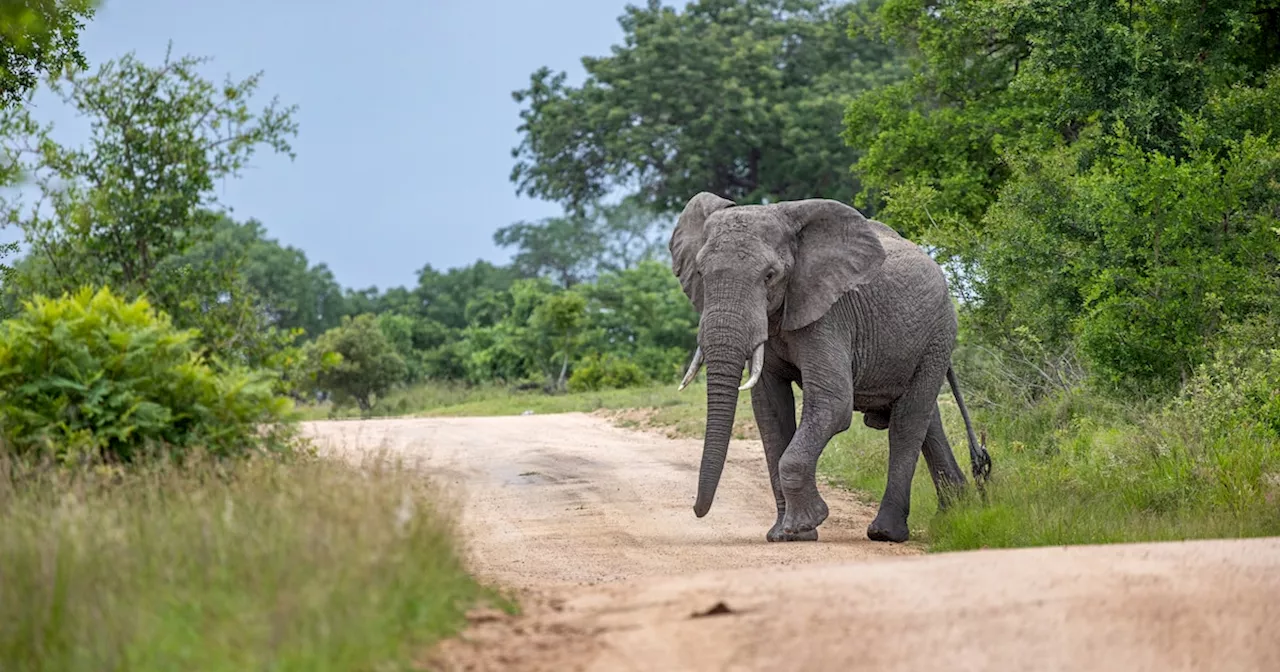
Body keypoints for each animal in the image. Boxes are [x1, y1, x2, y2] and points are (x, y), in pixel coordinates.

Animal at [670, 190, 988, 542]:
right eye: (700, 274)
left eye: (770, 276)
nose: (697, 510)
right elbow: (770, 411)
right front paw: (785, 535)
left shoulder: (830, 315)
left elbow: (833, 403)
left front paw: (802, 525)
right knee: (927, 419)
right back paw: (955, 513)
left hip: (938, 334)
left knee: (908, 421)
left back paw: (886, 532)